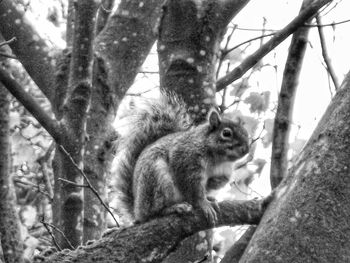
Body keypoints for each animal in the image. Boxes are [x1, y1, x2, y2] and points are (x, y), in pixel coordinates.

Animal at [115, 97, 249, 225]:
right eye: (226, 133)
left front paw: (213, 184)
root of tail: (137, 211)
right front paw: (204, 204)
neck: (219, 159)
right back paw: (173, 208)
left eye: (246, 133)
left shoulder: (225, 171)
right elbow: (192, 187)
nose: (246, 149)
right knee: (153, 212)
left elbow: (218, 182)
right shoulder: (186, 158)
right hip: (157, 180)